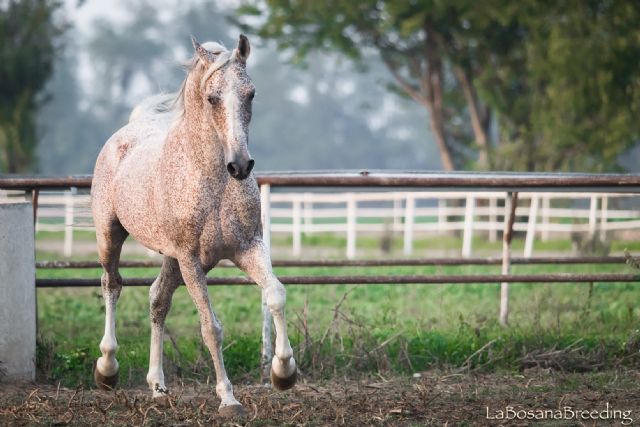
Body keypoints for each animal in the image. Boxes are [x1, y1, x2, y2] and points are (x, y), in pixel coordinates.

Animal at [90, 36, 298, 418]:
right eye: (212, 97)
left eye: (251, 93)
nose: (240, 165)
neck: (211, 180)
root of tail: (127, 131)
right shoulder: (191, 261)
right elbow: (211, 328)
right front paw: (229, 399)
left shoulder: (247, 247)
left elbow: (275, 294)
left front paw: (283, 373)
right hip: (110, 235)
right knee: (111, 285)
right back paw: (107, 370)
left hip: (171, 259)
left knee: (158, 299)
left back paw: (158, 387)